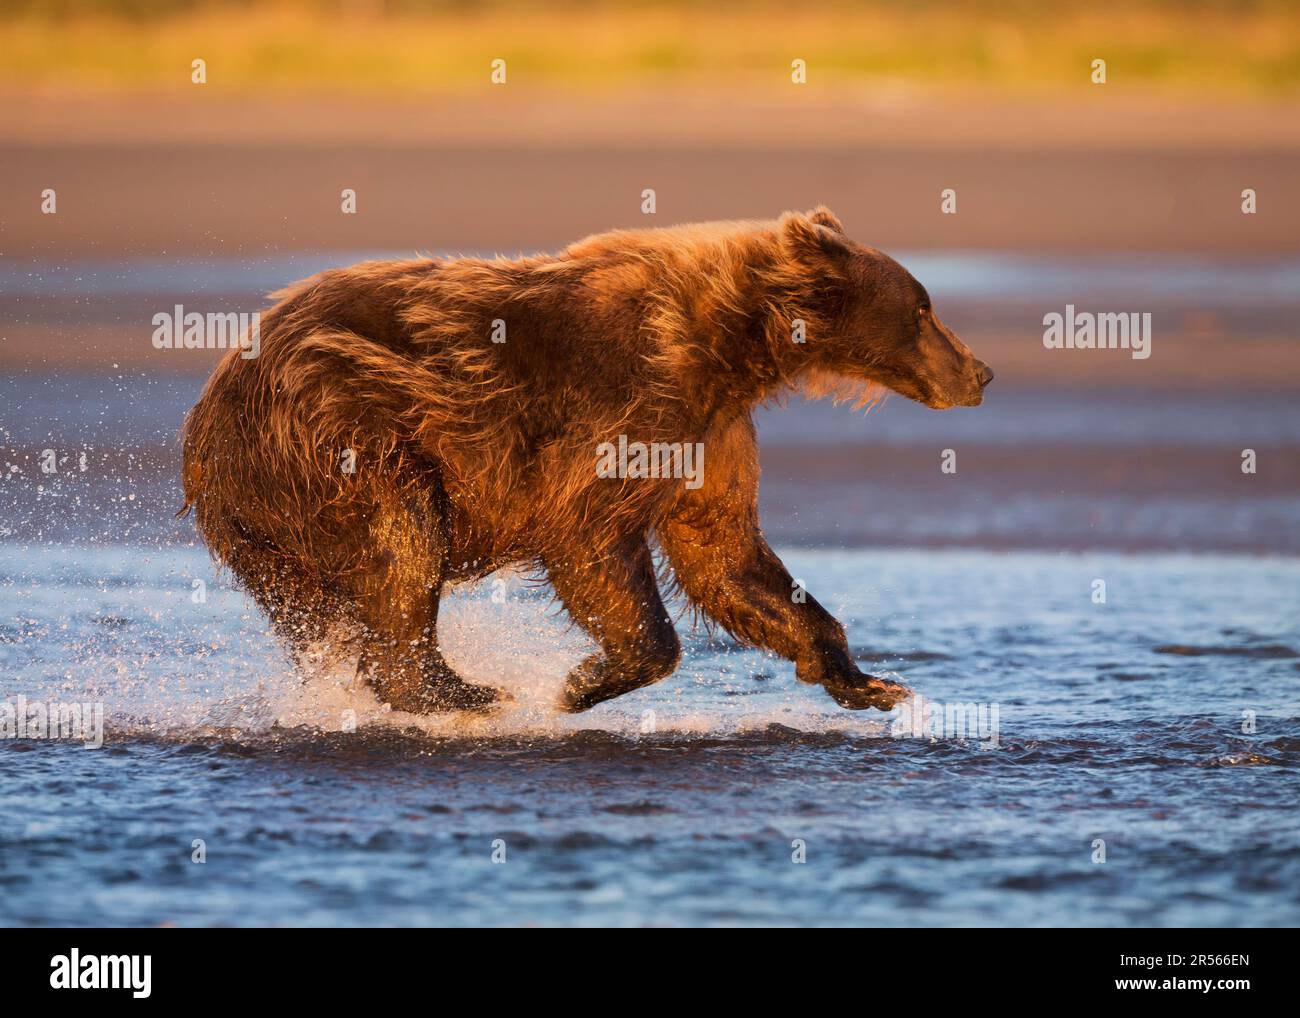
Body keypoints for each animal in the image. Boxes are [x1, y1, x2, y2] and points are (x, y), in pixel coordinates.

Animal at [180, 208, 993, 717]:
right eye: (922, 309)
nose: (981, 372)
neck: (730, 347)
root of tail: (203, 417)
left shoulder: (711, 431)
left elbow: (726, 554)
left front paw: (871, 682)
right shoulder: (623, 402)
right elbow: (588, 532)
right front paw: (579, 684)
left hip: (270, 519)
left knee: (322, 608)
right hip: (336, 426)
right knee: (403, 539)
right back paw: (465, 692)